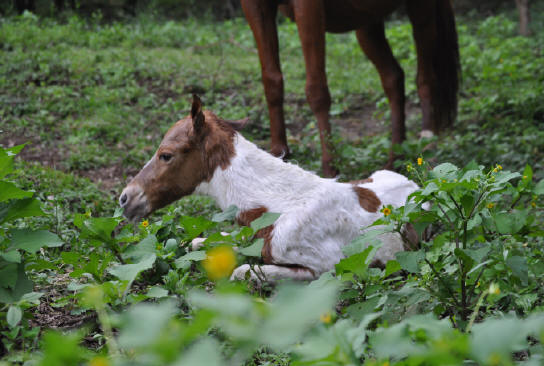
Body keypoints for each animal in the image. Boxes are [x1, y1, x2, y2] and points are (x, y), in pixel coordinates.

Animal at [121, 96, 422, 282]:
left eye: (166, 155)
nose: (126, 198)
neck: (277, 209)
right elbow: (205, 243)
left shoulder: (326, 267)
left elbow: (242, 271)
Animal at [241, 0, 460, 177]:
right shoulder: (255, 5)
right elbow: (272, 81)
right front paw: (278, 154)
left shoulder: (308, 6)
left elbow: (316, 90)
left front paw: (330, 168)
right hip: (367, 21)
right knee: (394, 78)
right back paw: (394, 159)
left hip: (421, 11)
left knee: (426, 79)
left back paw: (429, 149)